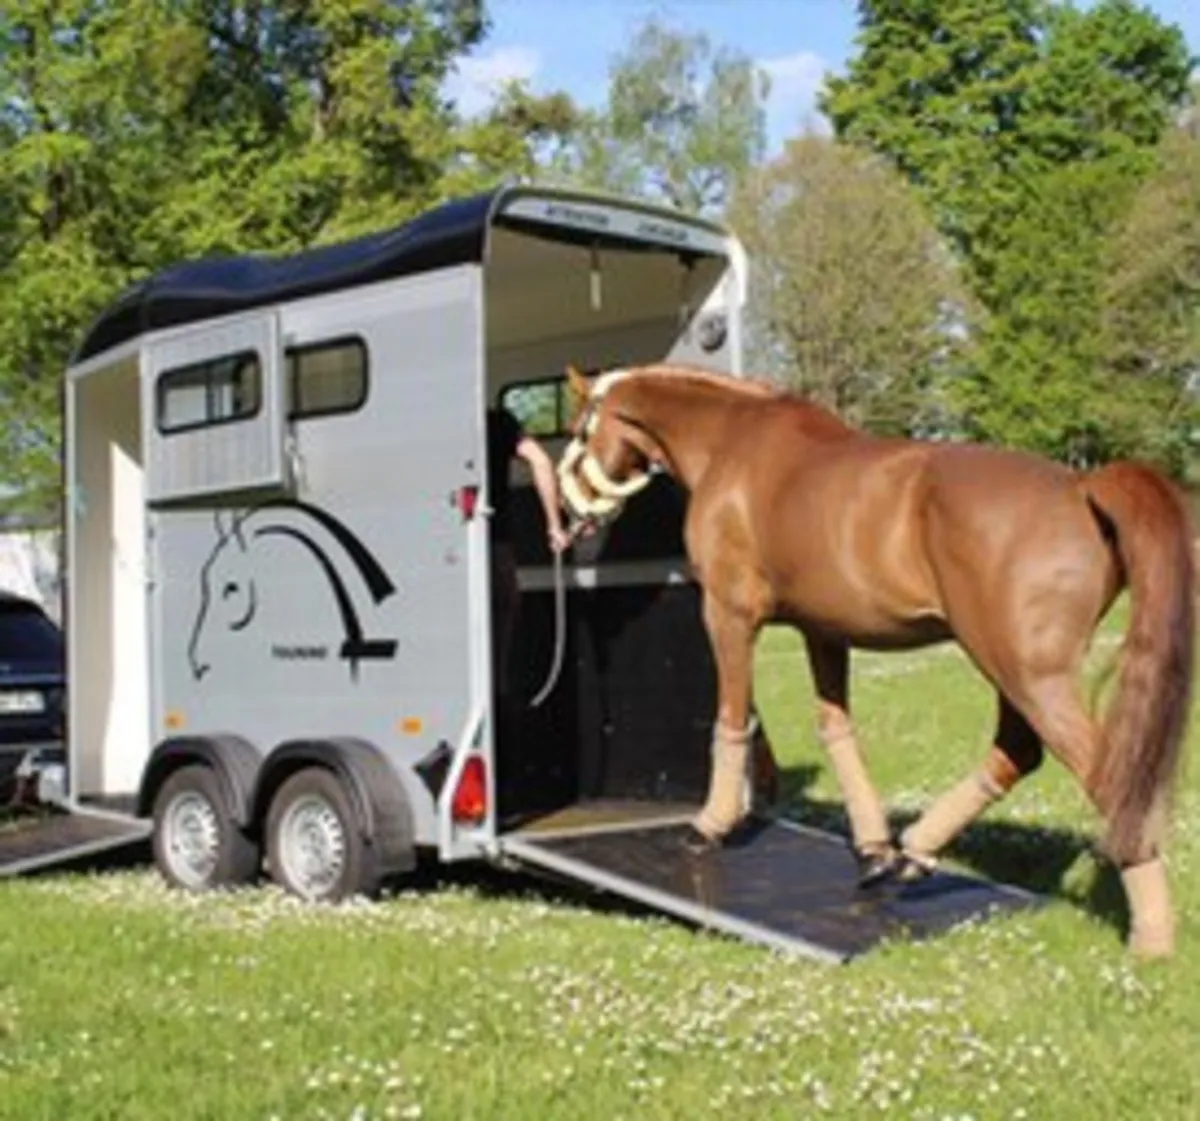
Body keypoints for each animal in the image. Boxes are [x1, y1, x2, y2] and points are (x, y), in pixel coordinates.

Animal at [555, 362, 1196, 958]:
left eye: (580, 430)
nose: (564, 517)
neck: (732, 442)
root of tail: (1083, 486)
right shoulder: (823, 632)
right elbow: (837, 731)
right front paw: (872, 849)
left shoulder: (729, 615)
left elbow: (732, 719)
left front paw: (709, 826)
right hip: (1014, 672)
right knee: (1018, 752)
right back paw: (912, 854)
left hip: (1026, 674)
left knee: (1107, 777)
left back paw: (1151, 936)